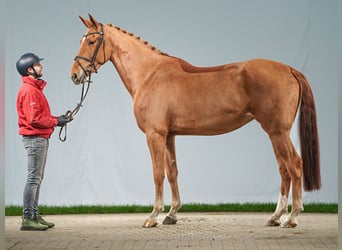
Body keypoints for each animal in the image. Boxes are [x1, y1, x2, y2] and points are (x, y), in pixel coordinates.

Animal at [70, 14, 320, 229]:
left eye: (91, 41)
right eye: (82, 40)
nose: (74, 75)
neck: (149, 74)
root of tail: (289, 69)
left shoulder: (155, 135)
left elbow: (157, 173)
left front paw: (153, 216)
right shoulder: (169, 135)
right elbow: (172, 171)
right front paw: (171, 214)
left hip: (278, 132)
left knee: (294, 166)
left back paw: (292, 217)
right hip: (274, 133)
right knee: (284, 170)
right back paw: (275, 217)